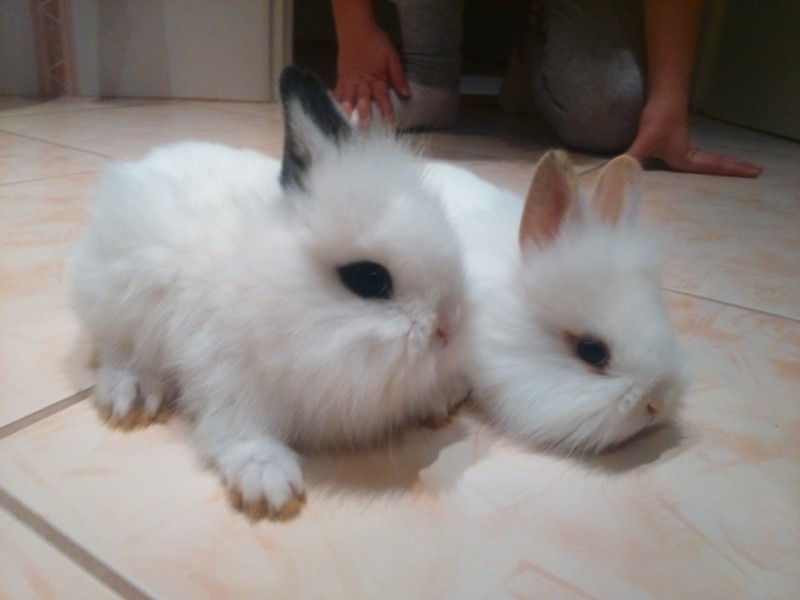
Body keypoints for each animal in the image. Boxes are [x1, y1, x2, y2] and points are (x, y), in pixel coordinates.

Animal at [70, 66, 468, 520]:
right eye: (369, 279)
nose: (449, 326)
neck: (277, 291)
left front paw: (443, 397)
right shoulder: (229, 378)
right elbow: (236, 432)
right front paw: (271, 486)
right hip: (117, 308)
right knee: (116, 353)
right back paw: (132, 395)